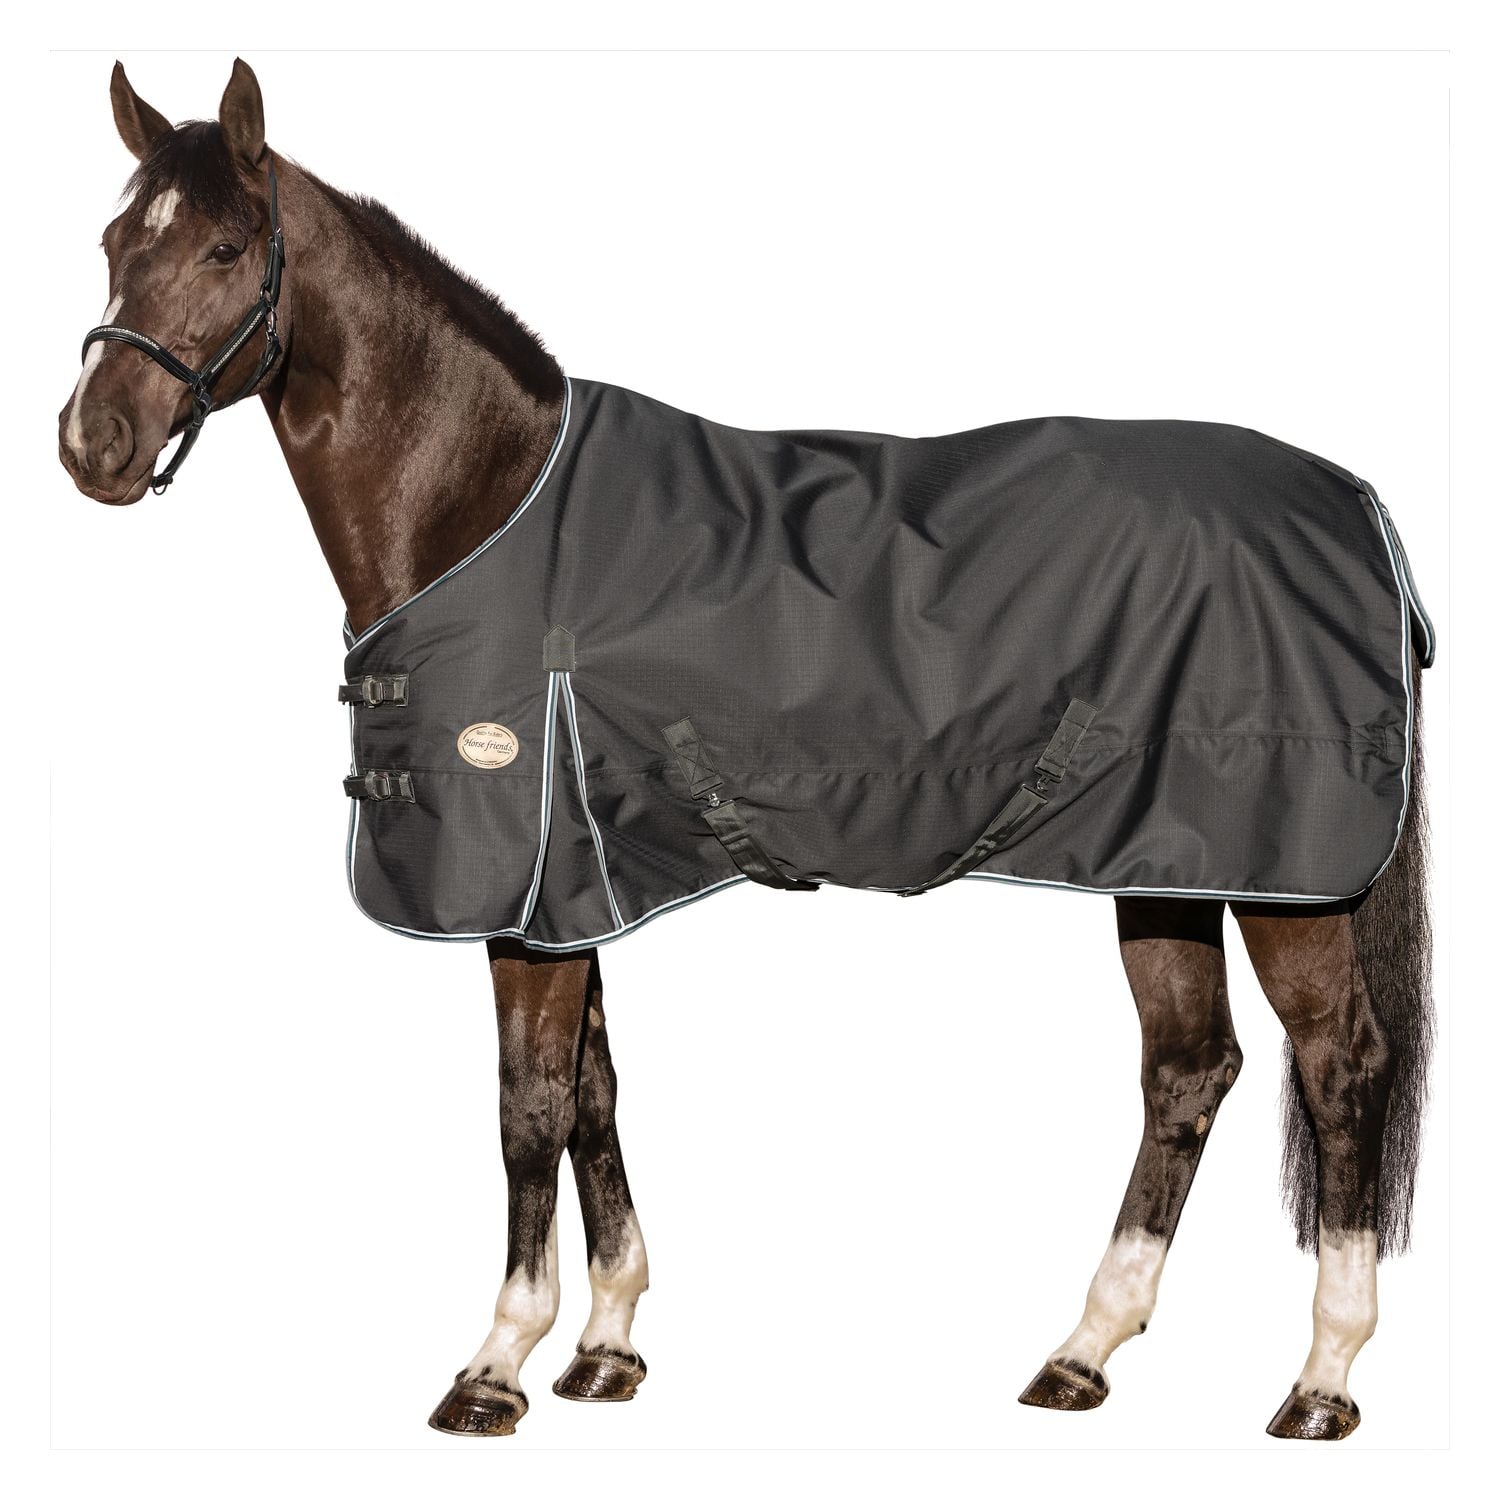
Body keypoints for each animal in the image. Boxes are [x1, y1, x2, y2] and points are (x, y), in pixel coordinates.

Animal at [57, 58, 1433, 1442]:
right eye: (116, 245)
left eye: (227, 247)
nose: (91, 444)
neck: (489, 505)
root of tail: (1353, 503)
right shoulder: (571, 889)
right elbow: (594, 1097)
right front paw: (606, 1348)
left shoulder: (521, 897)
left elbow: (526, 1108)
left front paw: (495, 1365)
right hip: (1166, 864)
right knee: (1188, 1070)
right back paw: (1083, 1353)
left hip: (1290, 882)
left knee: (1340, 1066)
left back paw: (1322, 1379)